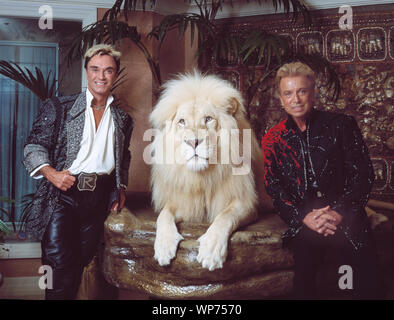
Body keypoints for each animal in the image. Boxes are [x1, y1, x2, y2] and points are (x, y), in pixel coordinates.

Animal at [149, 71, 264, 272]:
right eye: (182, 122)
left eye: (208, 119)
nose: (193, 142)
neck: (202, 177)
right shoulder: (184, 202)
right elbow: (163, 215)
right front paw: (163, 247)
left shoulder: (247, 203)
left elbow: (225, 217)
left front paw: (211, 251)